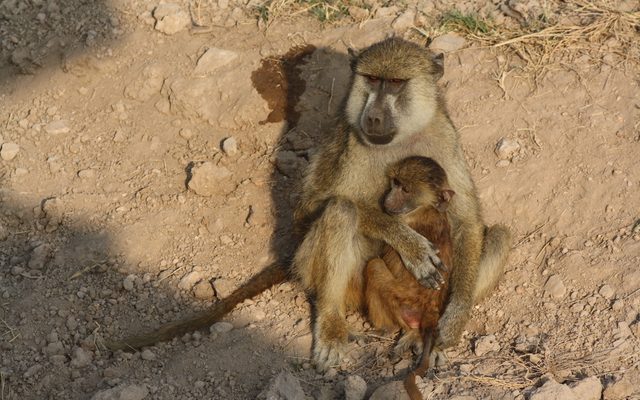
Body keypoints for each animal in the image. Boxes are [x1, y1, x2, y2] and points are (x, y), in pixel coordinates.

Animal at [291, 37, 512, 371]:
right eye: (371, 79)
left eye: (395, 83)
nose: (373, 117)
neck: (404, 137)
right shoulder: (353, 143)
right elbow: (318, 203)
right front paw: (413, 247)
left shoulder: (444, 135)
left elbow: (466, 221)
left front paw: (455, 319)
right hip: (327, 274)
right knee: (342, 210)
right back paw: (332, 325)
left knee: (499, 235)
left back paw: (421, 334)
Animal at [363, 156, 455, 400]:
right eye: (395, 183)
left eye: (405, 189)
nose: (386, 199)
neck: (427, 208)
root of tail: (430, 310)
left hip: (400, 301)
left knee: (374, 266)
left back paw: (383, 330)